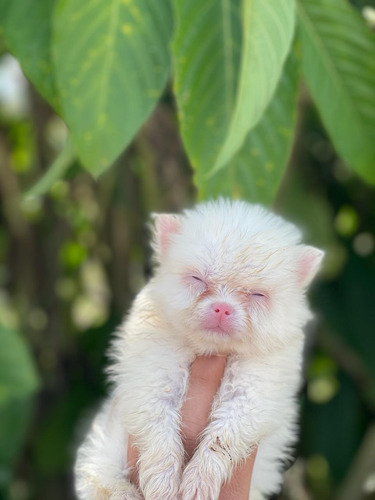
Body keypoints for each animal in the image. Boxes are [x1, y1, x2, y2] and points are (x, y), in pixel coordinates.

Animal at [75, 200, 324, 500]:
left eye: (257, 295)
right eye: (197, 279)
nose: (222, 308)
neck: (209, 349)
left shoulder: (253, 396)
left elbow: (222, 436)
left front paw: (199, 481)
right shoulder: (151, 380)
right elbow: (159, 432)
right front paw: (163, 484)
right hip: (102, 456)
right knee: (103, 481)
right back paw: (123, 492)